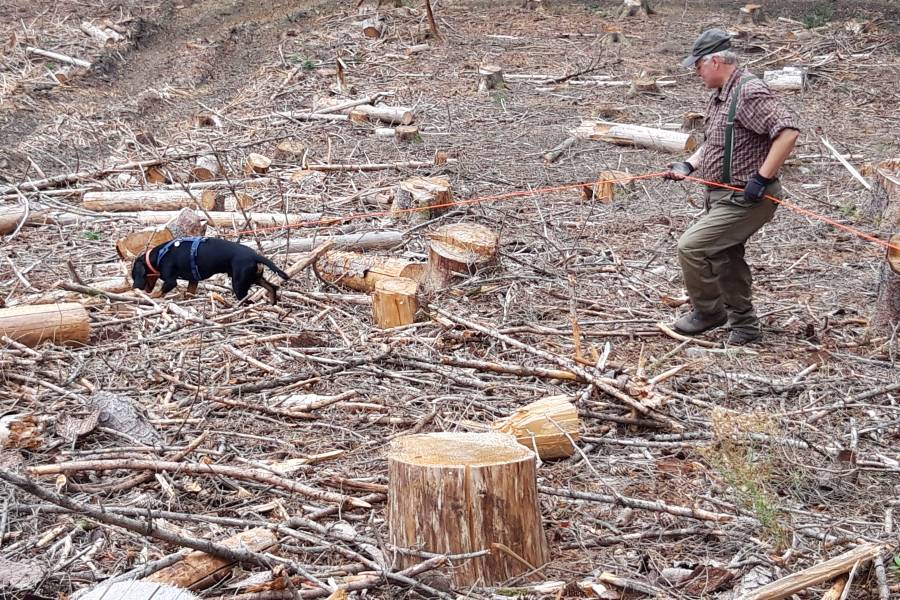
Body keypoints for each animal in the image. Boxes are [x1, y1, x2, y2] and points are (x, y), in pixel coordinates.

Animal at [131, 237, 288, 304]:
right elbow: (189, 293)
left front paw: (151, 297)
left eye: (134, 276)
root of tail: (255, 255)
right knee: (272, 287)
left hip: (239, 284)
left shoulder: (170, 281)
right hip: (255, 278)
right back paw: (273, 304)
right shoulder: (193, 281)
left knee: (247, 300)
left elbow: (160, 292)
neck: (158, 256)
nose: (135, 287)